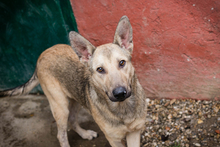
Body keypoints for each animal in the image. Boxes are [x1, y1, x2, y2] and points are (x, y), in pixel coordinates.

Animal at [0, 16, 148, 147]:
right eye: (100, 69)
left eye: (122, 63)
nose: (120, 93)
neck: (123, 108)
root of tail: (42, 54)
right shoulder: (114, 139)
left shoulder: (134, 133)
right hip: (60, 106)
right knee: (61, 134)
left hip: (76, 98)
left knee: (72, 120)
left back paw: (85, 134)